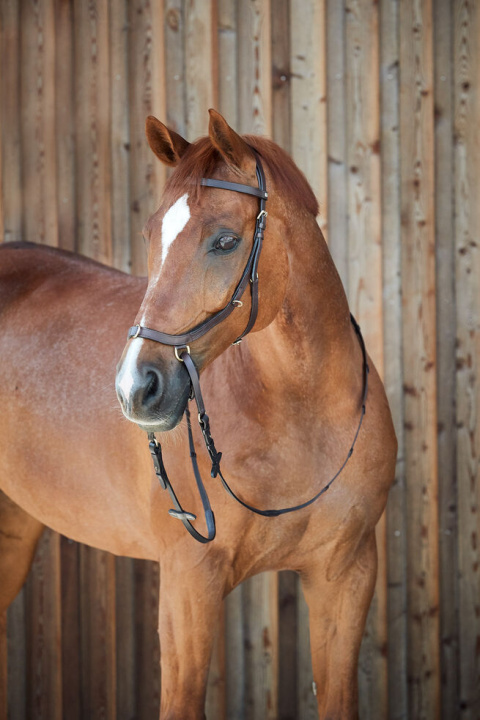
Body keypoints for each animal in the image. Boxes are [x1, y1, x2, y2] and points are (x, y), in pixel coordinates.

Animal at [0, 109, 396, 716]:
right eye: (151, 235)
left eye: (225, 241)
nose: (135, 388)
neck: (303, 420)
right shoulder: (188, 584)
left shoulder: (347, 576)